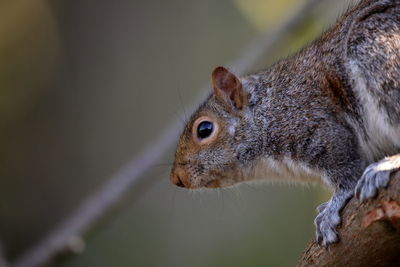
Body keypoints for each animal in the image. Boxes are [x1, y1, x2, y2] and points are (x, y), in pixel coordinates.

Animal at [170, 0, 400, 247]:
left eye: (204, 129)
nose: (177, 178)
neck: (268, 111)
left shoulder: (315, 126)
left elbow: (347, 173)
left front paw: (331, 209)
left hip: (375, 53)